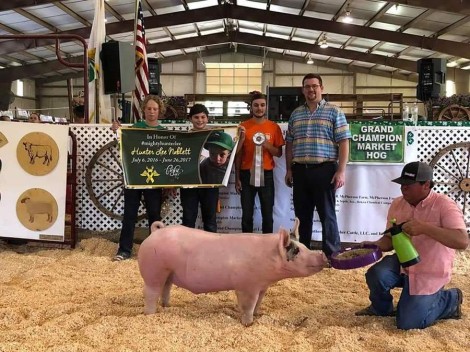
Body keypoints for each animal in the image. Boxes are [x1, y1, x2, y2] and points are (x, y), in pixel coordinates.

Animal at [137, 219, 326, 326]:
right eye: (297, 251)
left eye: (304, 246)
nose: (322, 254)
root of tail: (156, 232)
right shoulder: (247, 286)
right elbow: (248, 305)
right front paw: (248, 323)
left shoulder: (262, 287)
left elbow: (258, 303)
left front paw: (258, 315)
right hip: (154, 270)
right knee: (150, 292)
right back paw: (150, 314)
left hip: (168, 273)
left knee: (166, 288)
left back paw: (167, 306)